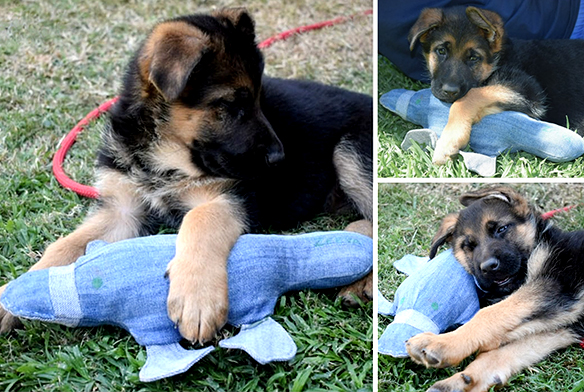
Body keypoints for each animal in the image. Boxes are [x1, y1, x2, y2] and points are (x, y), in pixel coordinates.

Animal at [0, 7, 374, 342]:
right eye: (231, 105)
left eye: (257, 98)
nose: (279, 158)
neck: (165, 155)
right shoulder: (121, 209)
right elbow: (64, 246)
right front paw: (13, 295)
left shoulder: (227, 195)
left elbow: (200, 221)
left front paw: (196, 297)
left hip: (350, 152)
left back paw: (362, 281)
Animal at [404, 186, 584, 388]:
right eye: (468, 246)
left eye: (501, 229)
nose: (489, 267)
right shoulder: (564, 324)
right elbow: (503, 352)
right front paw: (460, 381)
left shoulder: (556, 284)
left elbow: (489, 314)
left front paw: (442, 343)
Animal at [408, 6, 584, 165]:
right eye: (441, 51)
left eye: (473, 58)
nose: (450, 91)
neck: (498, 61)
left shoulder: (528, 89)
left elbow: (469, 97)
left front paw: (449, 141)